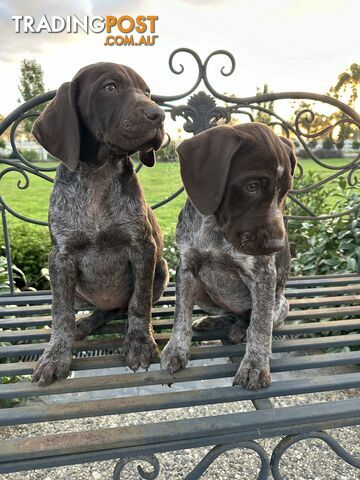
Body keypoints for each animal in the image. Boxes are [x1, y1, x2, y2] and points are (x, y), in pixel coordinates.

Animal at [31, 63, 169, 386]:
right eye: (110, 87)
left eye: (147, 92)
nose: (158, 115)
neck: (98, 178)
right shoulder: (61, 257)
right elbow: (60, 312)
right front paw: (56, 354)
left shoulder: (143, 248)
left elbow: (139, 303)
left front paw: (139, 342)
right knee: (87, 310)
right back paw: (83, 324)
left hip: (162, 269)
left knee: (122, 307)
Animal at [160, 123, 296, 390]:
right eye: (251, 186)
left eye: (285, 192)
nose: (277, 245)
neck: (215, 228)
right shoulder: (186, 269)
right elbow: (181, 315)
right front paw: (175, 349)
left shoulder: (263, 276)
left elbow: (260, 327)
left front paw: (255, 366)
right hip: (202, 293)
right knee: (230, 314)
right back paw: (214, 321)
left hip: (281, 304)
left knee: (254, 319)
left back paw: (241, 329)